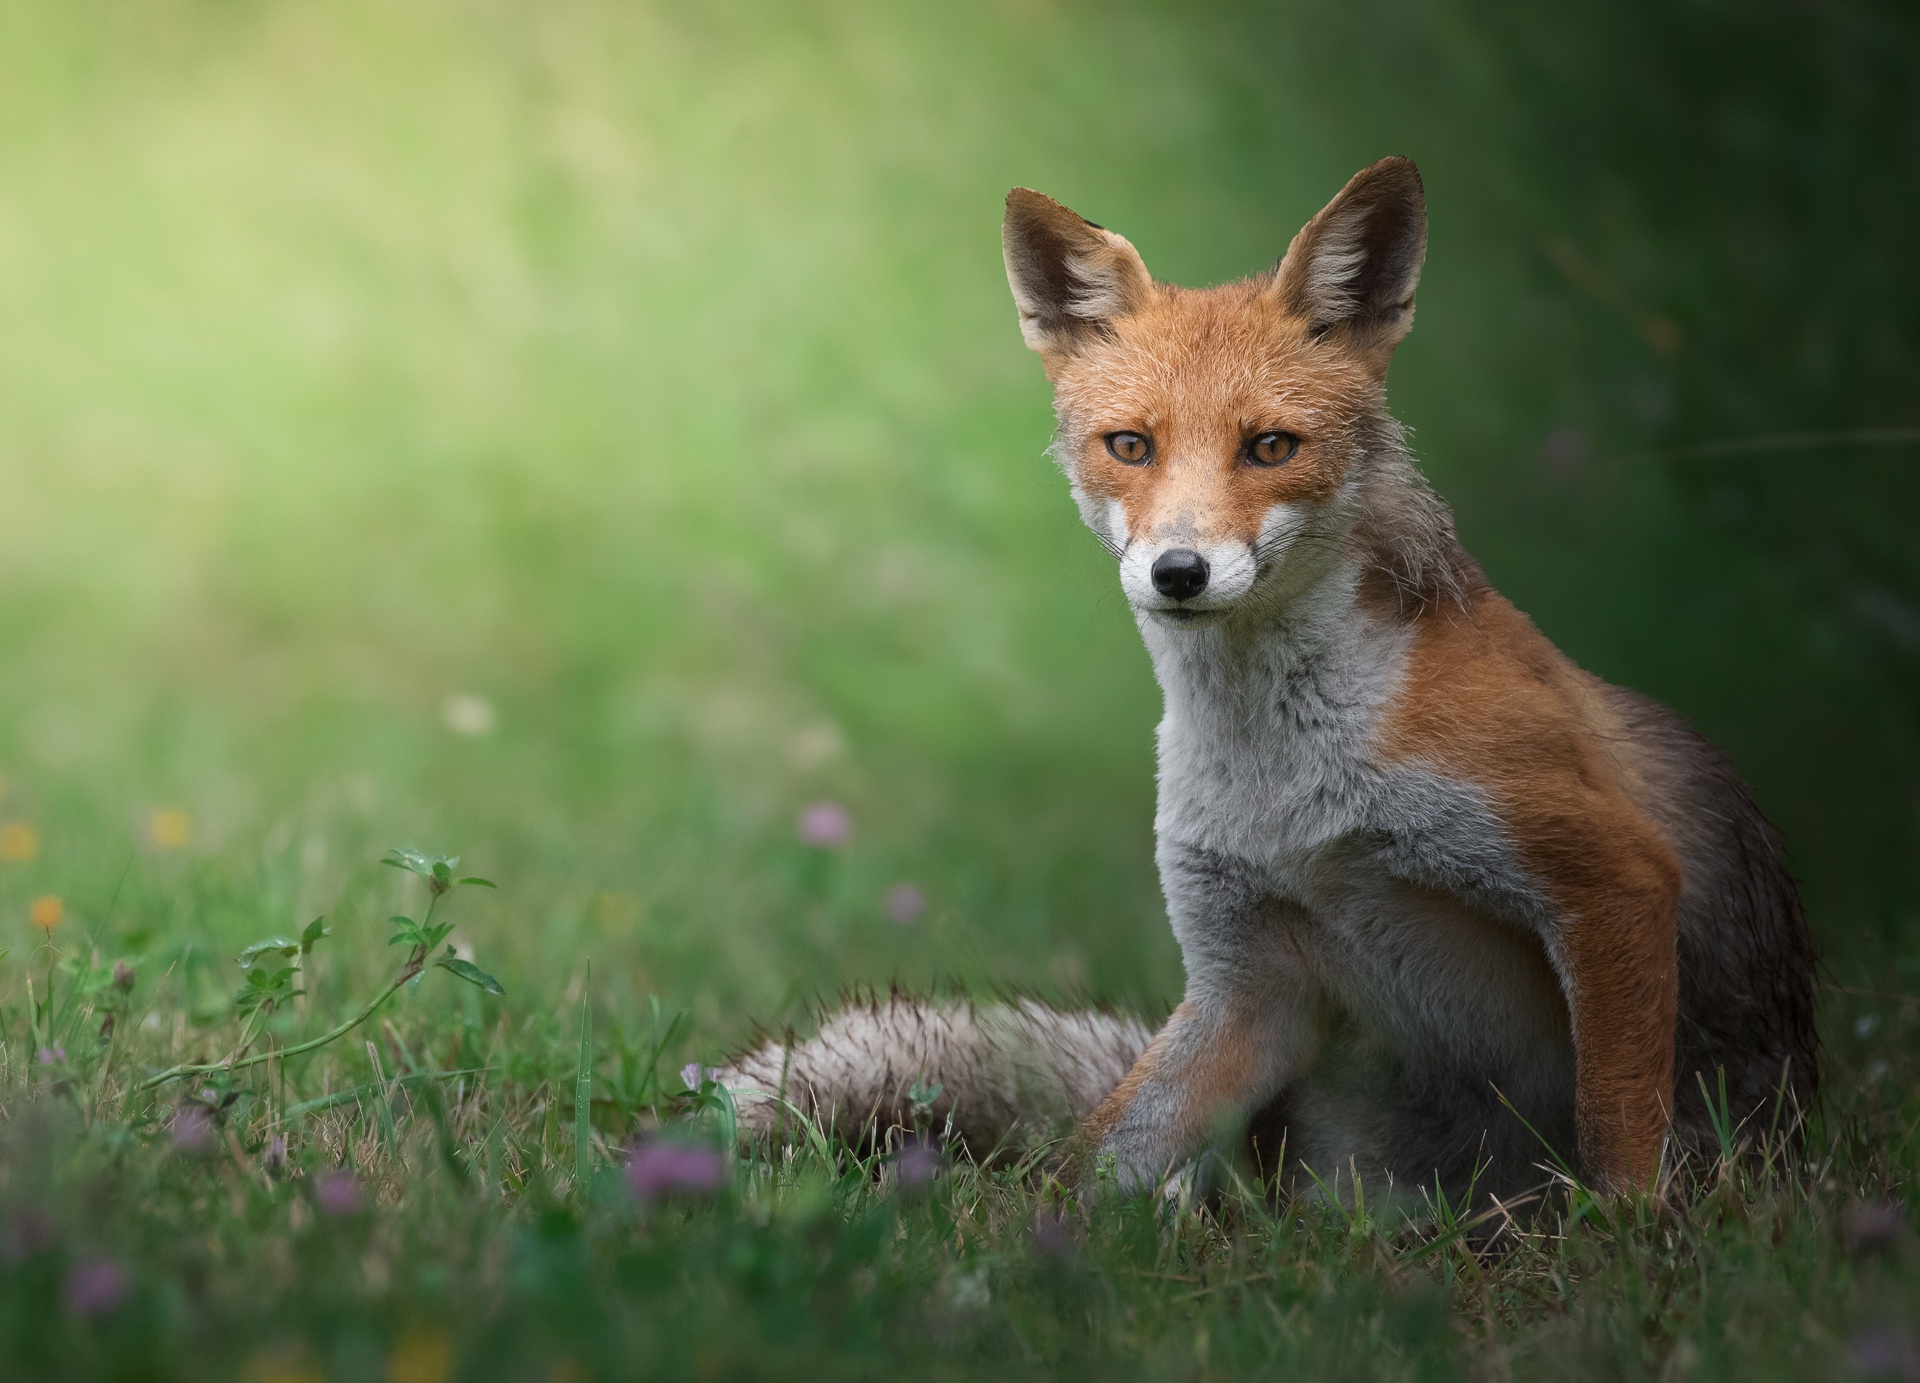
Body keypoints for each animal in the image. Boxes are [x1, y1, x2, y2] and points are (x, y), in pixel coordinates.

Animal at [721, 159, 1812, 1198]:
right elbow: (1092, 1165)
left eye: (1271, 446)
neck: (1289, 783)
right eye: (1131, 445)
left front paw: (1635, 1240)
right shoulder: (1249, 978)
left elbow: (1620, 1130)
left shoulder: (1610, 875)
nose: (1179, 571)